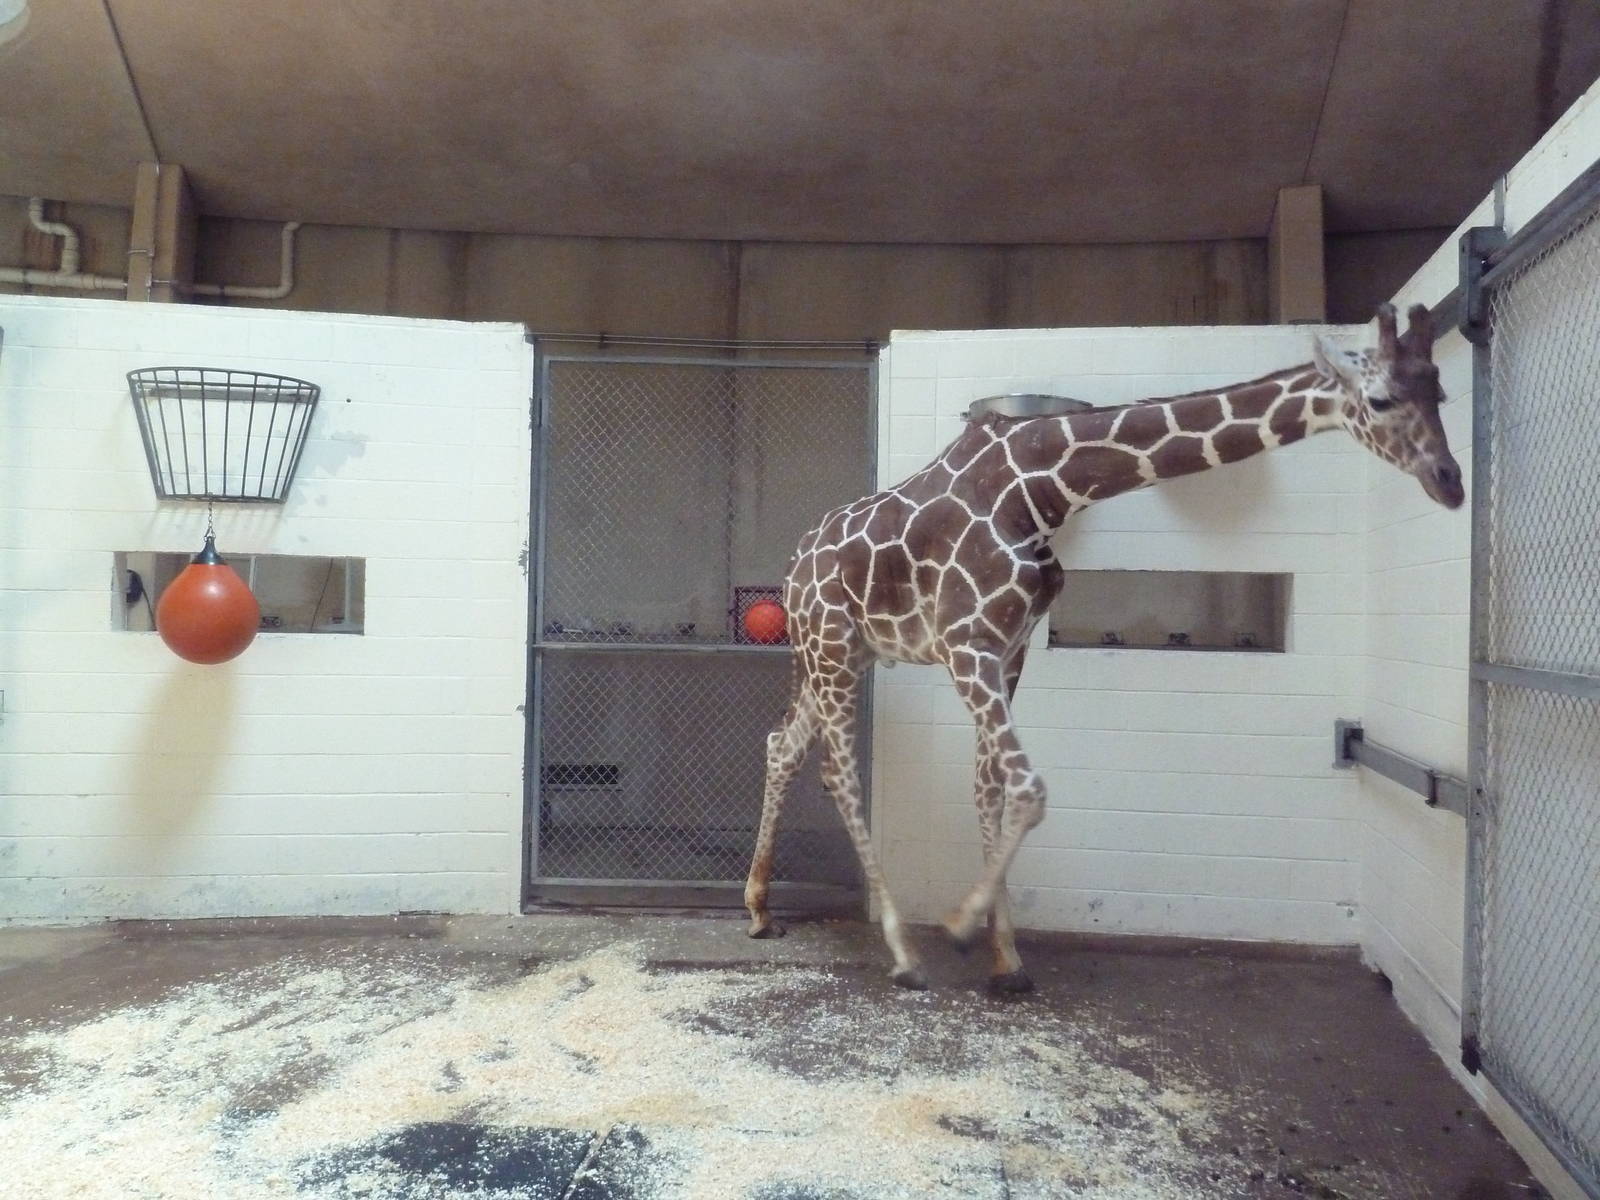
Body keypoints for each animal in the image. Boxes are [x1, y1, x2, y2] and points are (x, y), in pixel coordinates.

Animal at [745, 303, 1461, 992]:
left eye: (1440, 393)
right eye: (1381, 401)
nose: (1449, 481)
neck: (1041, 490)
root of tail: (794, 563)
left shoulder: (1010, 649)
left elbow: (990, 785)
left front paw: (1006, 959)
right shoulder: (966, 643)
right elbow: (1028, 787)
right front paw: (962, 925)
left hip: (839, 653)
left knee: (783, 745)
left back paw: (758, 908)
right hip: (833, 645)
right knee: (838, 772)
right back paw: (899, 950)